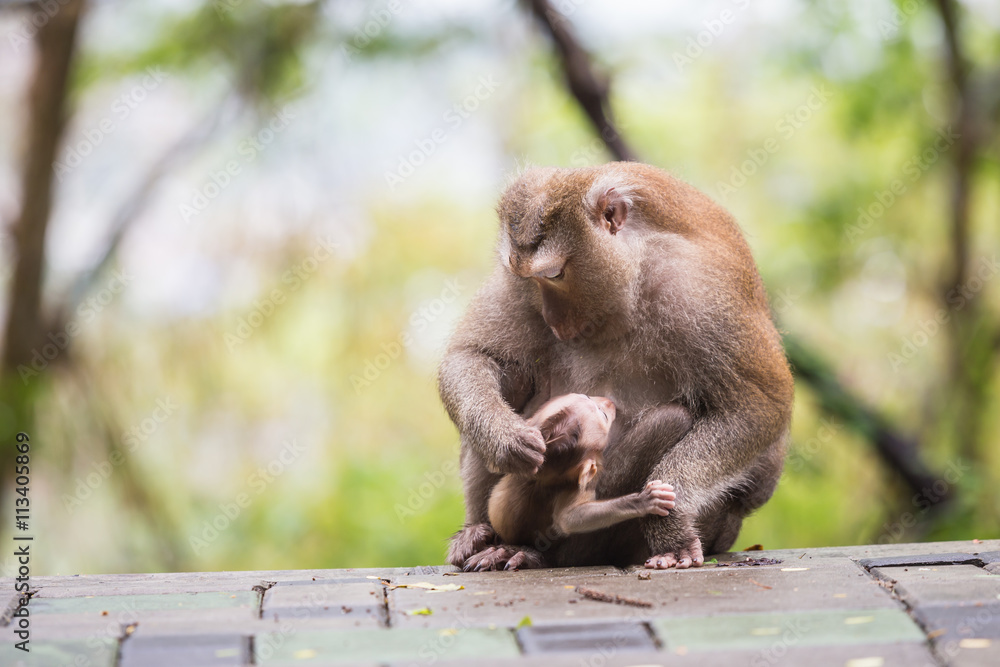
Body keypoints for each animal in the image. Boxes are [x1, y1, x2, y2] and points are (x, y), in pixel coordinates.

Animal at [473, 393, 677, 571]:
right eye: (603, 416)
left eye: (586, 396)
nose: (608, 401)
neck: (540, 478)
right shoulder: (575, 487)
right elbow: (569, 518)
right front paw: (644, 500)